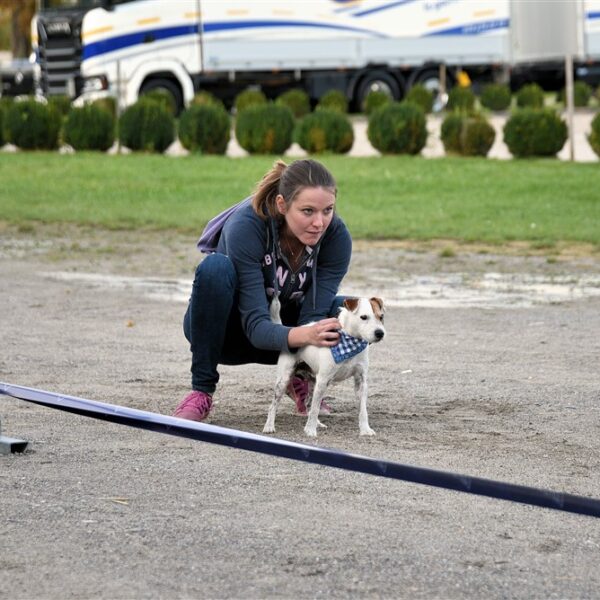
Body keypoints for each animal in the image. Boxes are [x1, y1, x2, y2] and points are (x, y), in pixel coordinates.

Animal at [264, 296, 385, 437]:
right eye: (363, 317)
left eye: (381, 316)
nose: (380, 333)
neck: (350, 344)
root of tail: (291, 329)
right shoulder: (323, 380)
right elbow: (316, 408)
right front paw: (310, 430)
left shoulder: (361, 381)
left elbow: (363, 409)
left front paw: (365, 429)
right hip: (284, 380)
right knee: (274, 405)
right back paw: (269, 426)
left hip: (313, 383)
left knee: (309, 403)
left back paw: (317, 423)